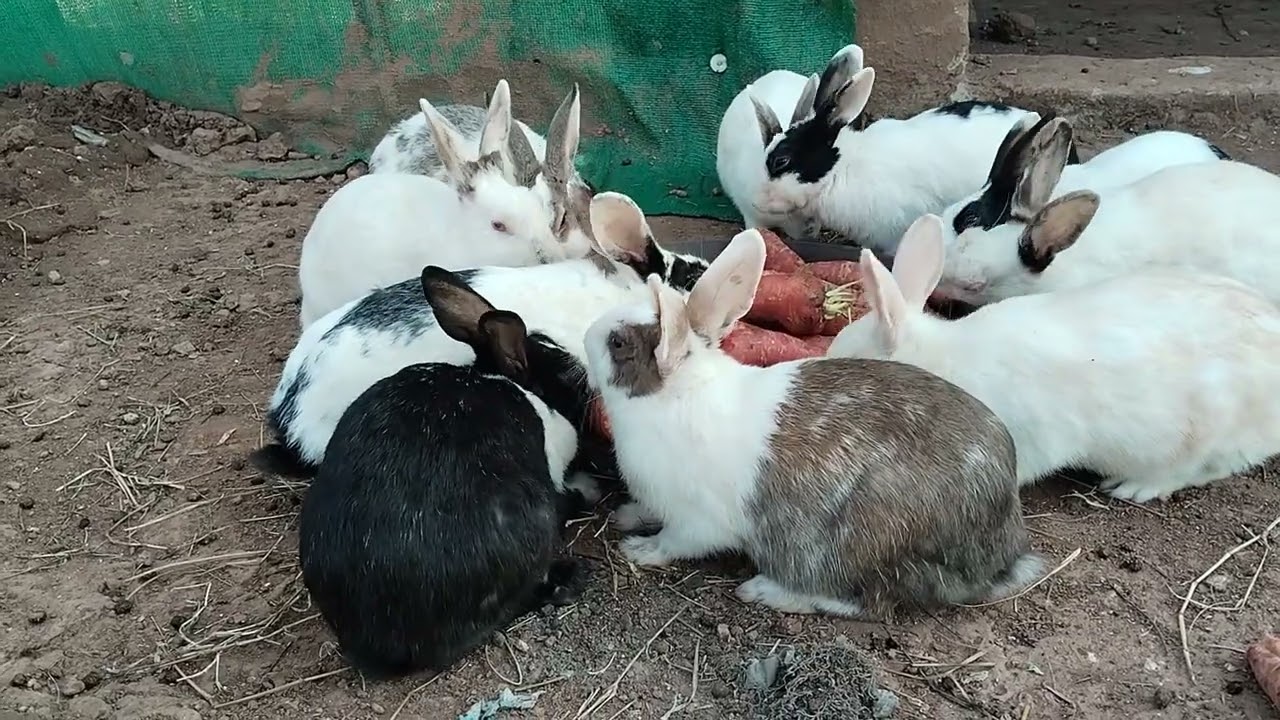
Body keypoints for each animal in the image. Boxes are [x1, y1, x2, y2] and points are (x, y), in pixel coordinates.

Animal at [581, 229, 1042, 618]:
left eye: (618, 342)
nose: (587, 335)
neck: (672, 397)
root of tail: (1003, 551)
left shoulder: (696, 521)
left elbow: (675, 542)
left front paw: (640, 550)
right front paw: (627, 515)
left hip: (856, 544)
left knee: (868, 602)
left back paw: (766, 591)